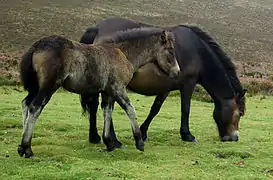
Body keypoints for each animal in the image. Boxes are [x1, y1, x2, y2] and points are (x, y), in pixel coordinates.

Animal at [17, 27, 178, 158]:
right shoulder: (118, 88)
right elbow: (130, 109)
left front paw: (109, 144)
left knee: (26, 103)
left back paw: (21, 148)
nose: (177, 72)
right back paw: (28, 149)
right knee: (35, 107)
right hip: (49, 86)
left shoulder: (108, 92)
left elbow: (107, 111)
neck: (123, 53)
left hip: (36, 87)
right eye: (170, 50)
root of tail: (36, 46)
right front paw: (139, 142)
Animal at [79, 16, 246, 148]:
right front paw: (187, 135)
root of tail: (97, 28)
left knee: (95, 106)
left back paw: (95, 137)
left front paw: (143, 132)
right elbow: (186, 109)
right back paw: (113, 141)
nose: (234, 138)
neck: (199, 52)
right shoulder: (188, 84)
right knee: (105, 107)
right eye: (240, 113)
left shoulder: (166, 87)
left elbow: (155, 109)